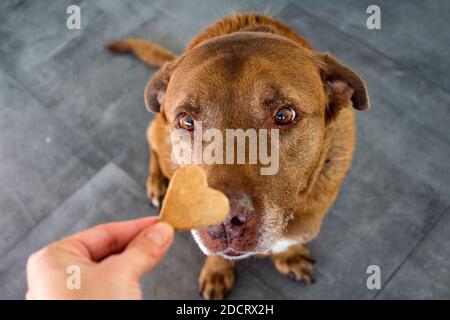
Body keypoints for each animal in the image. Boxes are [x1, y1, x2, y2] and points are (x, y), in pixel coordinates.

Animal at [105, 12, 370, 300]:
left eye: (284, 115)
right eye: (186, 120)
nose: (221, 222)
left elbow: (288, 243)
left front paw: (288, 256)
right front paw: (217, 271)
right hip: (161, 140)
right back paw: (158, 182)